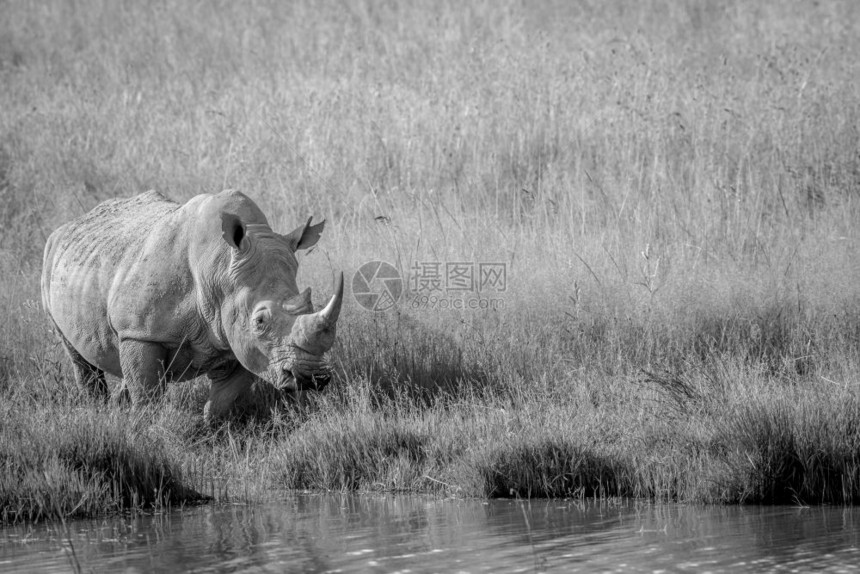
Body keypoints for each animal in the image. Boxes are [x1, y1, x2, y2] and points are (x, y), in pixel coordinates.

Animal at [40, 190, 342, 424]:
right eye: (260, 321)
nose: (312, 378)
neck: (219, 268)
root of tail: (73, 223)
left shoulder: (242, 342)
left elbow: (223, 401)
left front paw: (212, 431)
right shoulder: (140, 333)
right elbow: (147, 396)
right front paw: (146, 432)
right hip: (50, 258)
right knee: (79, 357)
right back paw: (97, 411)